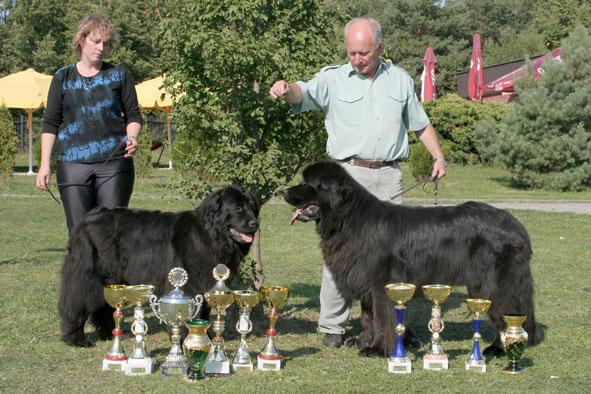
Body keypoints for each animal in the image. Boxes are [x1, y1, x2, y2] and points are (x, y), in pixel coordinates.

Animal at [59, 183, 260, 346]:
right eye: (237, 207)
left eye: (253, 208)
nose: (255, 223)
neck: (210, 236)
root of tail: (88, 218)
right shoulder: (187, 283)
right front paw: (187, 339)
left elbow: (202, 312)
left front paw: (204, 339)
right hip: (90, 275)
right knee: (76, 301)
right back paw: (76, 338)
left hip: (111, 278)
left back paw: (110, 333)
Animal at [286, 160, 540, 358]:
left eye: (307, 183)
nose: (284, 192)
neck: (349, 219)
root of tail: (516, 226)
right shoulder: (366, 283)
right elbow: (369, 317)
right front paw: (362, 342)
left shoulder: (382, 284)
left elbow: (383, 318)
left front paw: (377, 349)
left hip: (491, 283)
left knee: (507, 312)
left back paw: (499, 348)